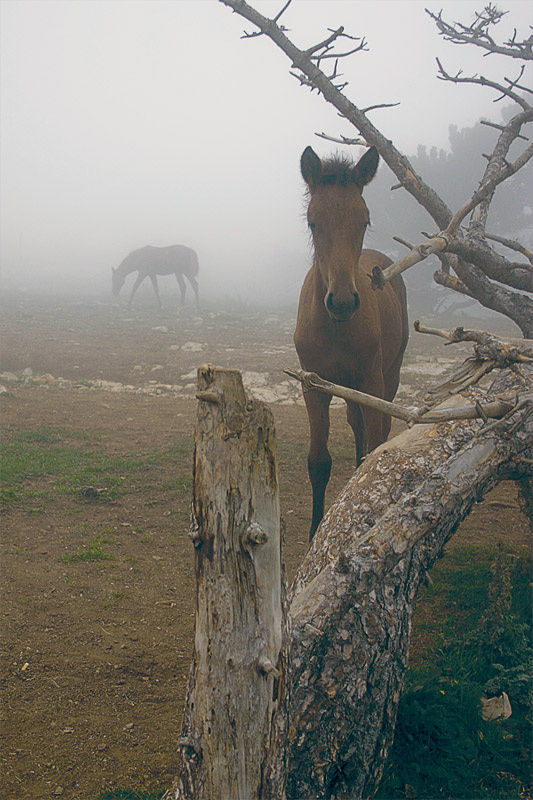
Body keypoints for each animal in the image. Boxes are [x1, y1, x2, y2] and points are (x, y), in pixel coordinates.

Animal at [295, 145, 409, 539]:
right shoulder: (314, 385)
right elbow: (318, 461)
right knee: (356, 425)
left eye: (364, 220)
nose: (342, 301)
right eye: (313, 222)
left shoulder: (372, 381)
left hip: (388, 375)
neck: (336, 329)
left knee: (378, 431)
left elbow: (377, 446)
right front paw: (315, 531)